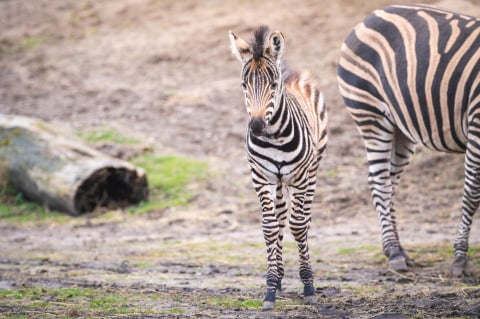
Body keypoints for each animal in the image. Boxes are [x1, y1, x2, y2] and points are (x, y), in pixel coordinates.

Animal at [230, 26, 328, 312]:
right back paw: (281, 278)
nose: (256, 127)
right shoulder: (260, 177)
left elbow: (298, 226)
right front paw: (271, 288)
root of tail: (292, 74)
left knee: (303, 220)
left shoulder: (301, 177)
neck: (274, 136)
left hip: (312, 172)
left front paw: (308, 286)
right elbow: (270, 227)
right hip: (279, 183)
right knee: (281, 218)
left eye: (273, 85)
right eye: (244, 85)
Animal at [338, 3, 480, 276]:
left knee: (389, 181)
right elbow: (472, 193)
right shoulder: (477, 123)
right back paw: (394, 253)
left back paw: (398, 249)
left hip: (401, 129)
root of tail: (373, 14)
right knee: (380, 182)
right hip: (370, 114)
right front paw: (460, 259)